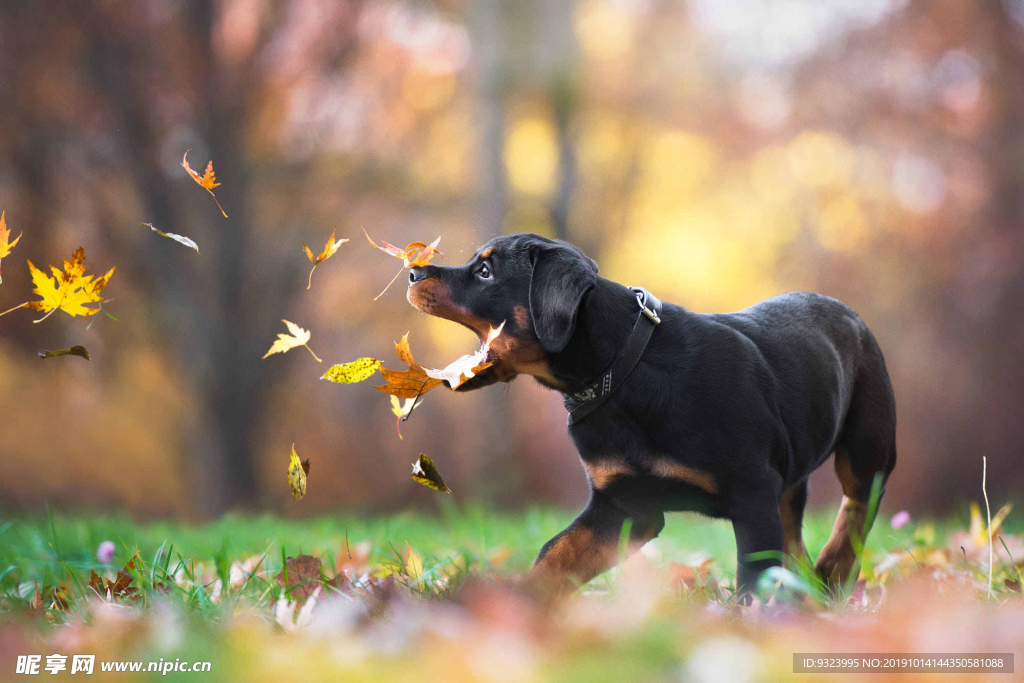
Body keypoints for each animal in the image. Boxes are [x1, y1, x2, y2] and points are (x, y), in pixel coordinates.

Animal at [407, 232, 897, 593]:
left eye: (485, 271)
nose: (412, 271)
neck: (621, 371)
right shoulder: (623, 504)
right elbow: (555, 556)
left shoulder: (751, 493)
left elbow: (753, 577)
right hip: (788, 478)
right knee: (795, 541)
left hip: (868, 440)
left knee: (858, 501)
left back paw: (835, 569)